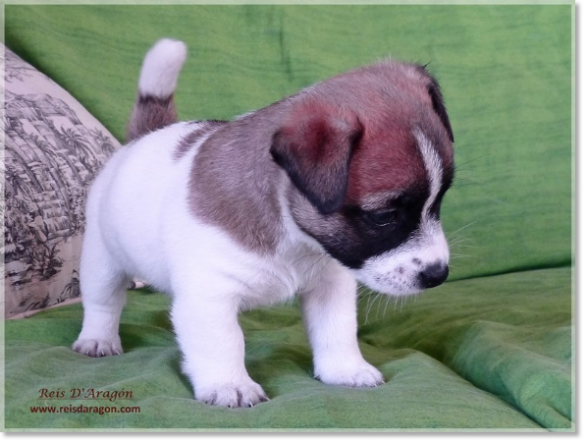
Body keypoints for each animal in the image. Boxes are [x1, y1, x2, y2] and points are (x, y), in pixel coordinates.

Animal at [73, 39, 454, 410]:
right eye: (383, 216)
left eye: (440, 200)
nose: (438, 275)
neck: (295, 239)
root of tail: (146, 137)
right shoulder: (210, 296)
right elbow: (223, 342)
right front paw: (229, 384)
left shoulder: (330, 286)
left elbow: (337, 330)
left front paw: (345, 370)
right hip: (102, 263)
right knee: (103, 303)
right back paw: (98, 338)